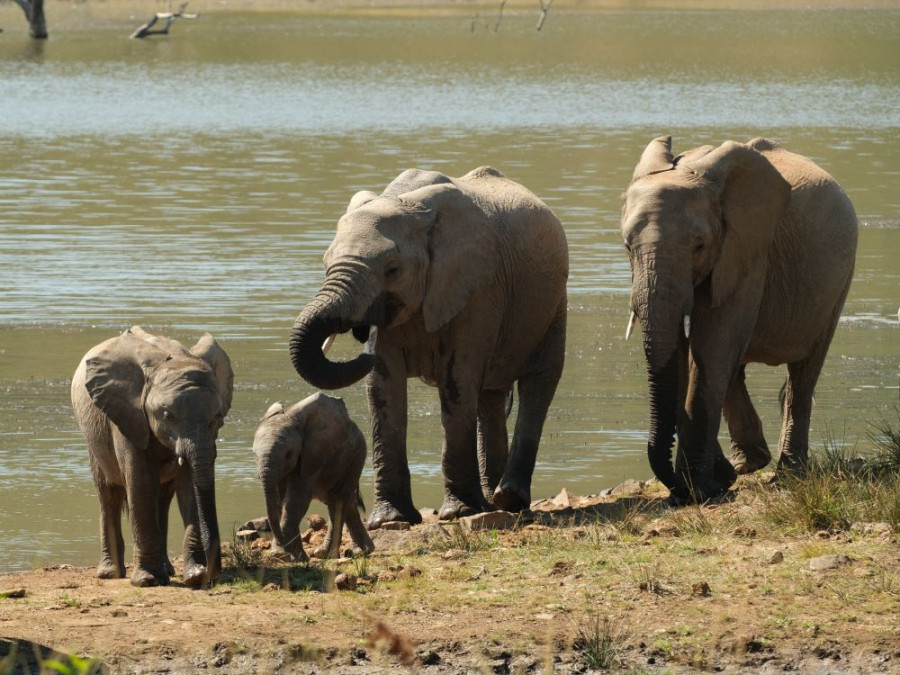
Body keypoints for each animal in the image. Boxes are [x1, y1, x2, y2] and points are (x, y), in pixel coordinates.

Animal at [71, 326, 232, 588]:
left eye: (217, 417)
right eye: (167, 415)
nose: (212, 575)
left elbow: (189, 486)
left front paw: (194, 576)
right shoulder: (128, 416)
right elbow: (141, 484)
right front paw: (147, 580)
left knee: (162, 498)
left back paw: (166, 570)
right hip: (93, 437)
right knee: (108, 495)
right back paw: (111, 574)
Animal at [253, 394, 376, 564]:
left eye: (289, 454)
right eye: (254, 455)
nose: (281, 544)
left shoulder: (311, 456)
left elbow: (296, 500)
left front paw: (282, 555)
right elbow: (278, 499)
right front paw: (288, 556)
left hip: (356, 455)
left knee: (337, 500)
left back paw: (325, 554)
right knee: (346, 501)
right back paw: (362, 551)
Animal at [290, 168, 568, 528]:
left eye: (392, 269)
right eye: (326, 262)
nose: (360, 339)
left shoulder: (478, 287)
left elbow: (457, 378)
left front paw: (460, 513)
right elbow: (383, 387)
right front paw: (389, 520)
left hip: (553, 303)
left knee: (538, 383)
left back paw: (509, 499)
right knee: (490, 397)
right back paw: (493, 501)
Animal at [620, 137, 856, 504]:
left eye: (699, 245)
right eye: (627, 246)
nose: (674, 491)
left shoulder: (747, 254)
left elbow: (710, 349)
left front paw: (700, 490)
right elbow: (688, 355)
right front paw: (714, 482)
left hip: (838, 281)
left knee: (803, 373)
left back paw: (788, 474)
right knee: (735, 368)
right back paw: (748, 464)